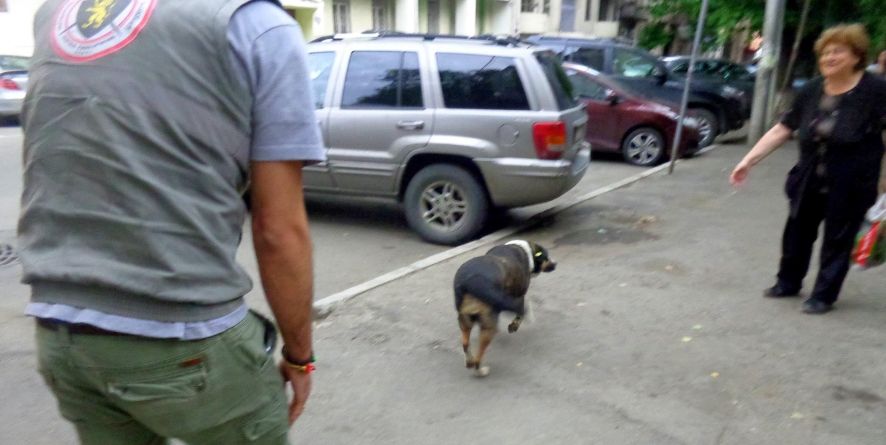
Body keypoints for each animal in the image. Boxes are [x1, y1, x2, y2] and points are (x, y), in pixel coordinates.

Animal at [454, 239, 560, 374]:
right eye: (546, 257)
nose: (556, 263)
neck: (527, 251)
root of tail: (471, 281)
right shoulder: (519, 295)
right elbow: (520, 313)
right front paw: (514, 325)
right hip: (488, 326)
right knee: (479, 355)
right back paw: (481, 370)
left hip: (464, 319)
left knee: (465, 344)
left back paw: (469, 362)